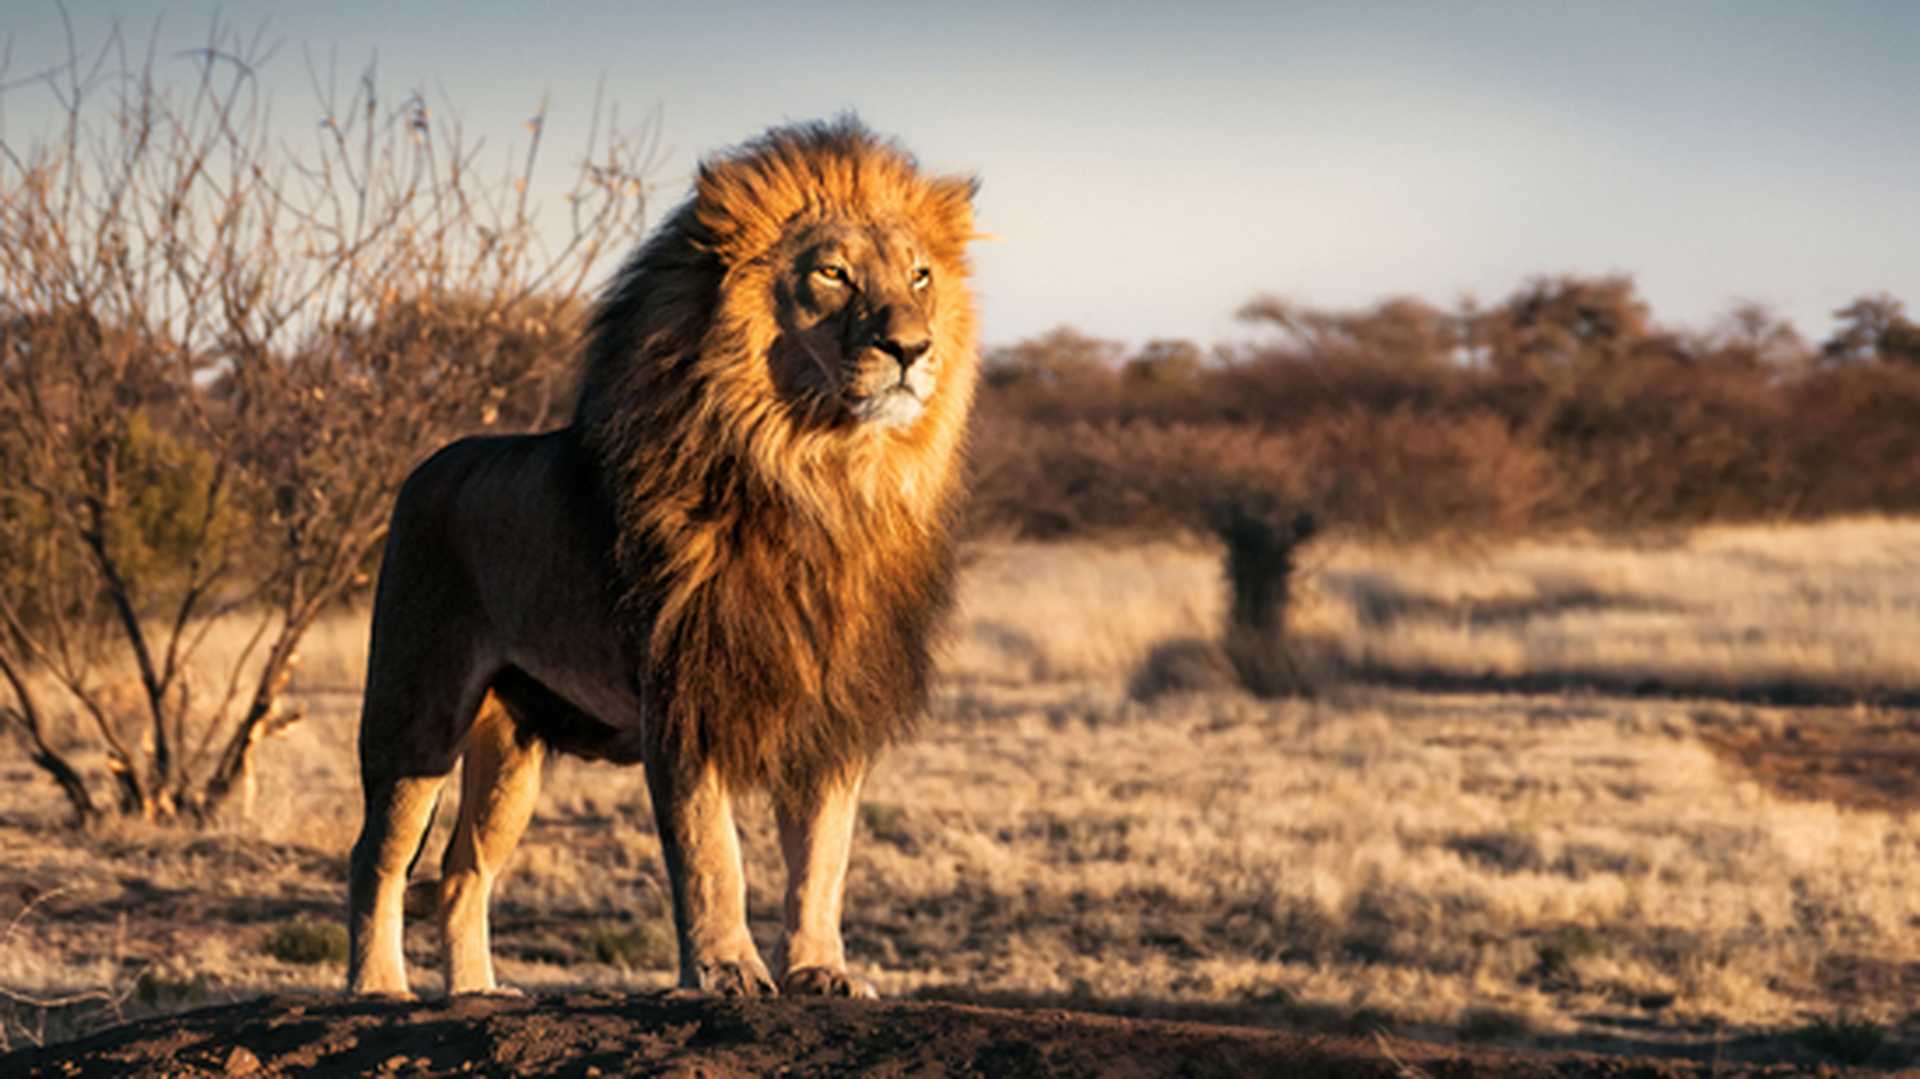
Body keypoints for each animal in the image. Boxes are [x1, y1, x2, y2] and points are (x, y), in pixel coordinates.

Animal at [345, 119, 980, 1000]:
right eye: (832, 272)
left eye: (921, 276)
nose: (912, 347)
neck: (819, 475)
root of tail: (426, 466)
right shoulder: (683, 692)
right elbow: (712, 853)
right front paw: (726, 970)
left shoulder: (832, 704)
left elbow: (823, 856)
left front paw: (821, 969)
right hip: (417, 710)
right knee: (377, 854)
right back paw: (378, 987)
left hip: (511, 748)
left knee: (463, 870)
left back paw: (476, 992)